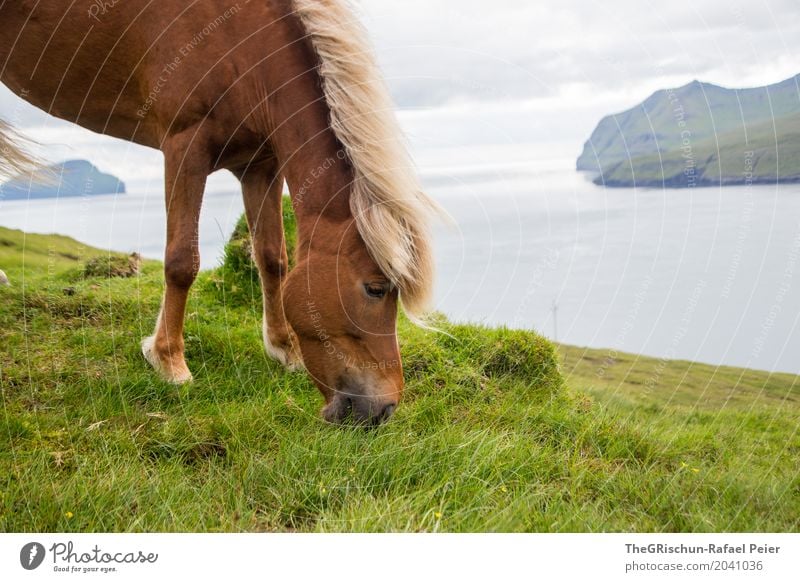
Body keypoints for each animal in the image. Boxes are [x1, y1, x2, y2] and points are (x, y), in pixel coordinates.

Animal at [0, 1, 438, 428]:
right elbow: (182, 262)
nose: (383, 410)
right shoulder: (184, 148)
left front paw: (284, 348)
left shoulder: (260, 166)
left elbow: (273, 259)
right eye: (375, 288)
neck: (243, 41)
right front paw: (169, 360)